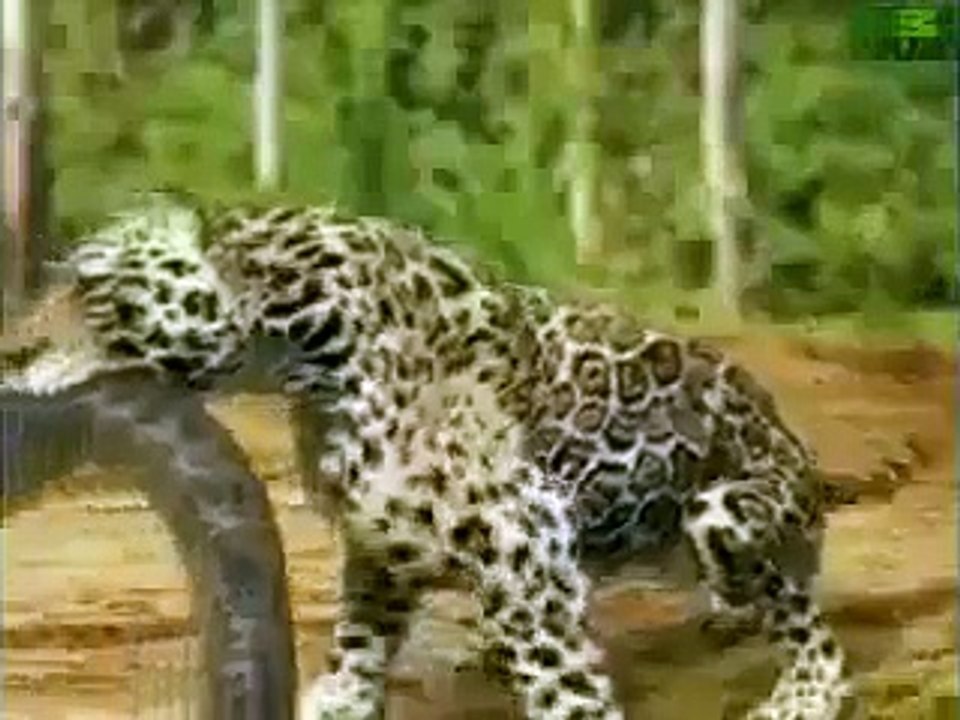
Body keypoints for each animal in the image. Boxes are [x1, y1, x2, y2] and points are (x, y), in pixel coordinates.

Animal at [1, 192, 853, 720]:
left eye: (89, 288)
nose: (11, 353)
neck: (301, 346)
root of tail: (790, 438)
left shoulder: (522, 537)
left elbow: (560, 675)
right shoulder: (385, 543)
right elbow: (359, 641)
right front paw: (340, 698)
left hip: (727, 510)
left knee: (820, 647)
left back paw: (795, 694)